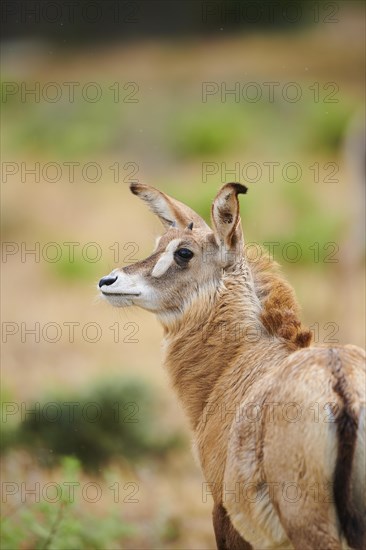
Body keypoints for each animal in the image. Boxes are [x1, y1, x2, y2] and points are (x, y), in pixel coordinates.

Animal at [98, 184, 364, 550]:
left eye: (184, 252)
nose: (108, 281)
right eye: (160, 242)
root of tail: (342, 388)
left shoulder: (222, 512)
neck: (240, 358)